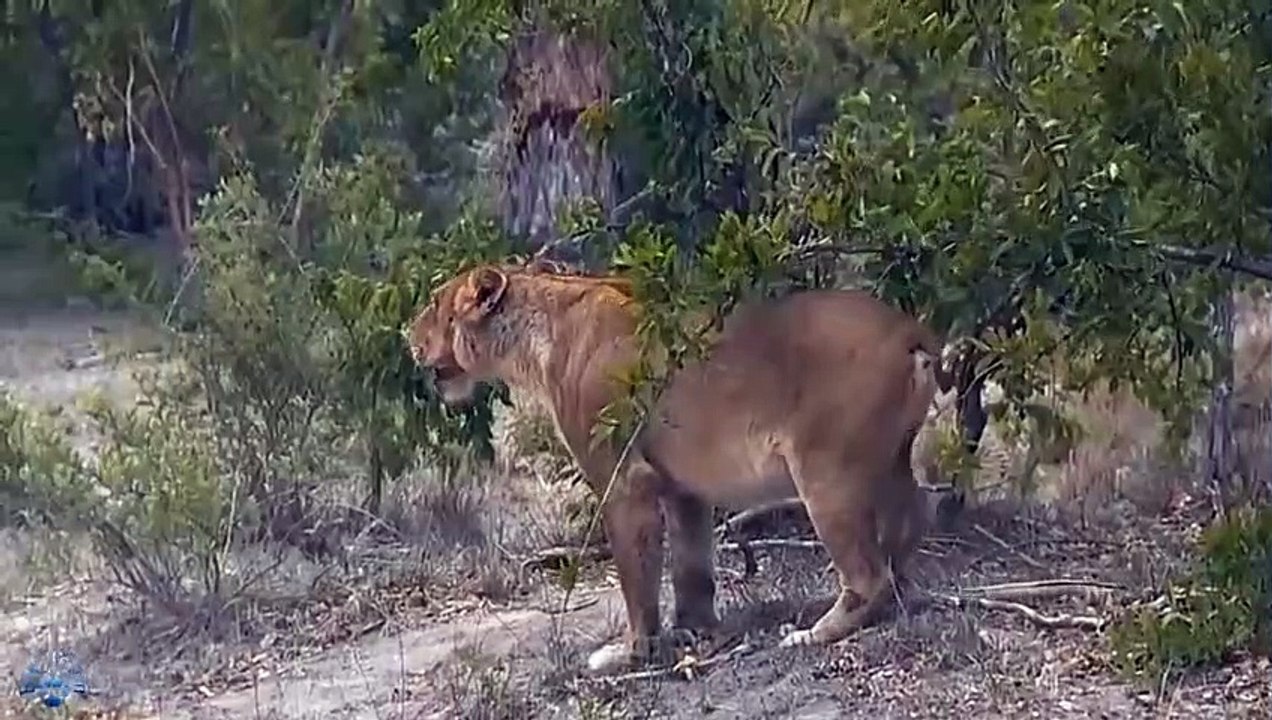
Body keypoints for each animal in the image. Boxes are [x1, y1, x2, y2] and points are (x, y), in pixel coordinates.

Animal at [407, 263, 947, 673]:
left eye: (434, 305)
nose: (406, 334)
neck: (539, 338)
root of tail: (908, 328)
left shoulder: (624, 479)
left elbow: (636, 577)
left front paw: (632, 653)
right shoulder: (682, 486)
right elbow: (691, 566)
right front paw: (695, 631)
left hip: (825, 473)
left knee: (867, 574)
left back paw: (814, 633)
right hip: (893, 461)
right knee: (908, 533)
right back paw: (906, 595)